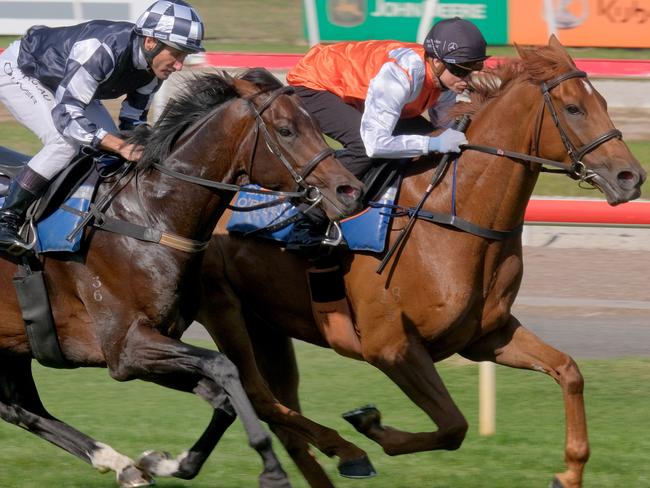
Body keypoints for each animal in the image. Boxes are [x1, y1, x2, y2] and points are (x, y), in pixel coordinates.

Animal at [0, 68, 364, 488]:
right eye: (286, 130)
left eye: (318, 127)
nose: (350, 190)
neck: (149, 216)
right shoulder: (125, 349)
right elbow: (224, 367)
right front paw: (272, 469)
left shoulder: (156, 342)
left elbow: (224, 397)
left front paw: (166, 462)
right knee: (19, 408)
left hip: (15, 344)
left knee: (20, 407)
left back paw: (124, 466)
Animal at [195, 37, 644, 488]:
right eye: (573, 108)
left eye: (603, 101)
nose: (631, 177)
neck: (453, 216)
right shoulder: (390, 346)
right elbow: (453, 426)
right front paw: (371, 424)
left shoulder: (488, 336)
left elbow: (569, 370)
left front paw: (569, 471)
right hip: (223, 310)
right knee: (258, 396)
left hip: (265, 324)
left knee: (281, 417)